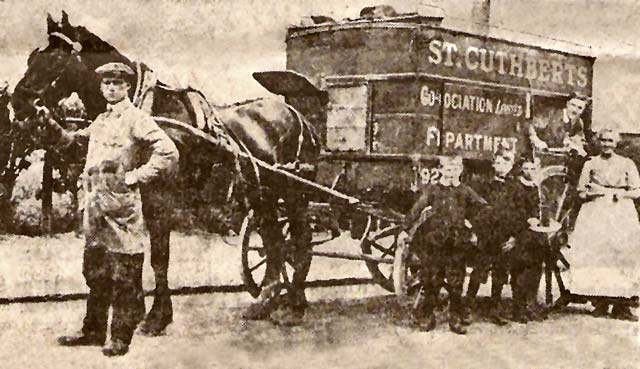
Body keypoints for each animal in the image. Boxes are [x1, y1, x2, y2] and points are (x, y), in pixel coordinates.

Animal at [13, 12, 324, 332]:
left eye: (55, 59)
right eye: (32, 57)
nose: (19, 102)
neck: (149, 111)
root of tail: (299, 117)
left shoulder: (160, 201)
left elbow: (159, 259)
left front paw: (157, 317)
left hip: (295, 194)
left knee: (300, 240)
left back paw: (295, 305)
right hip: (264, 195)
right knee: (276, 242)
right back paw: (267, 301)